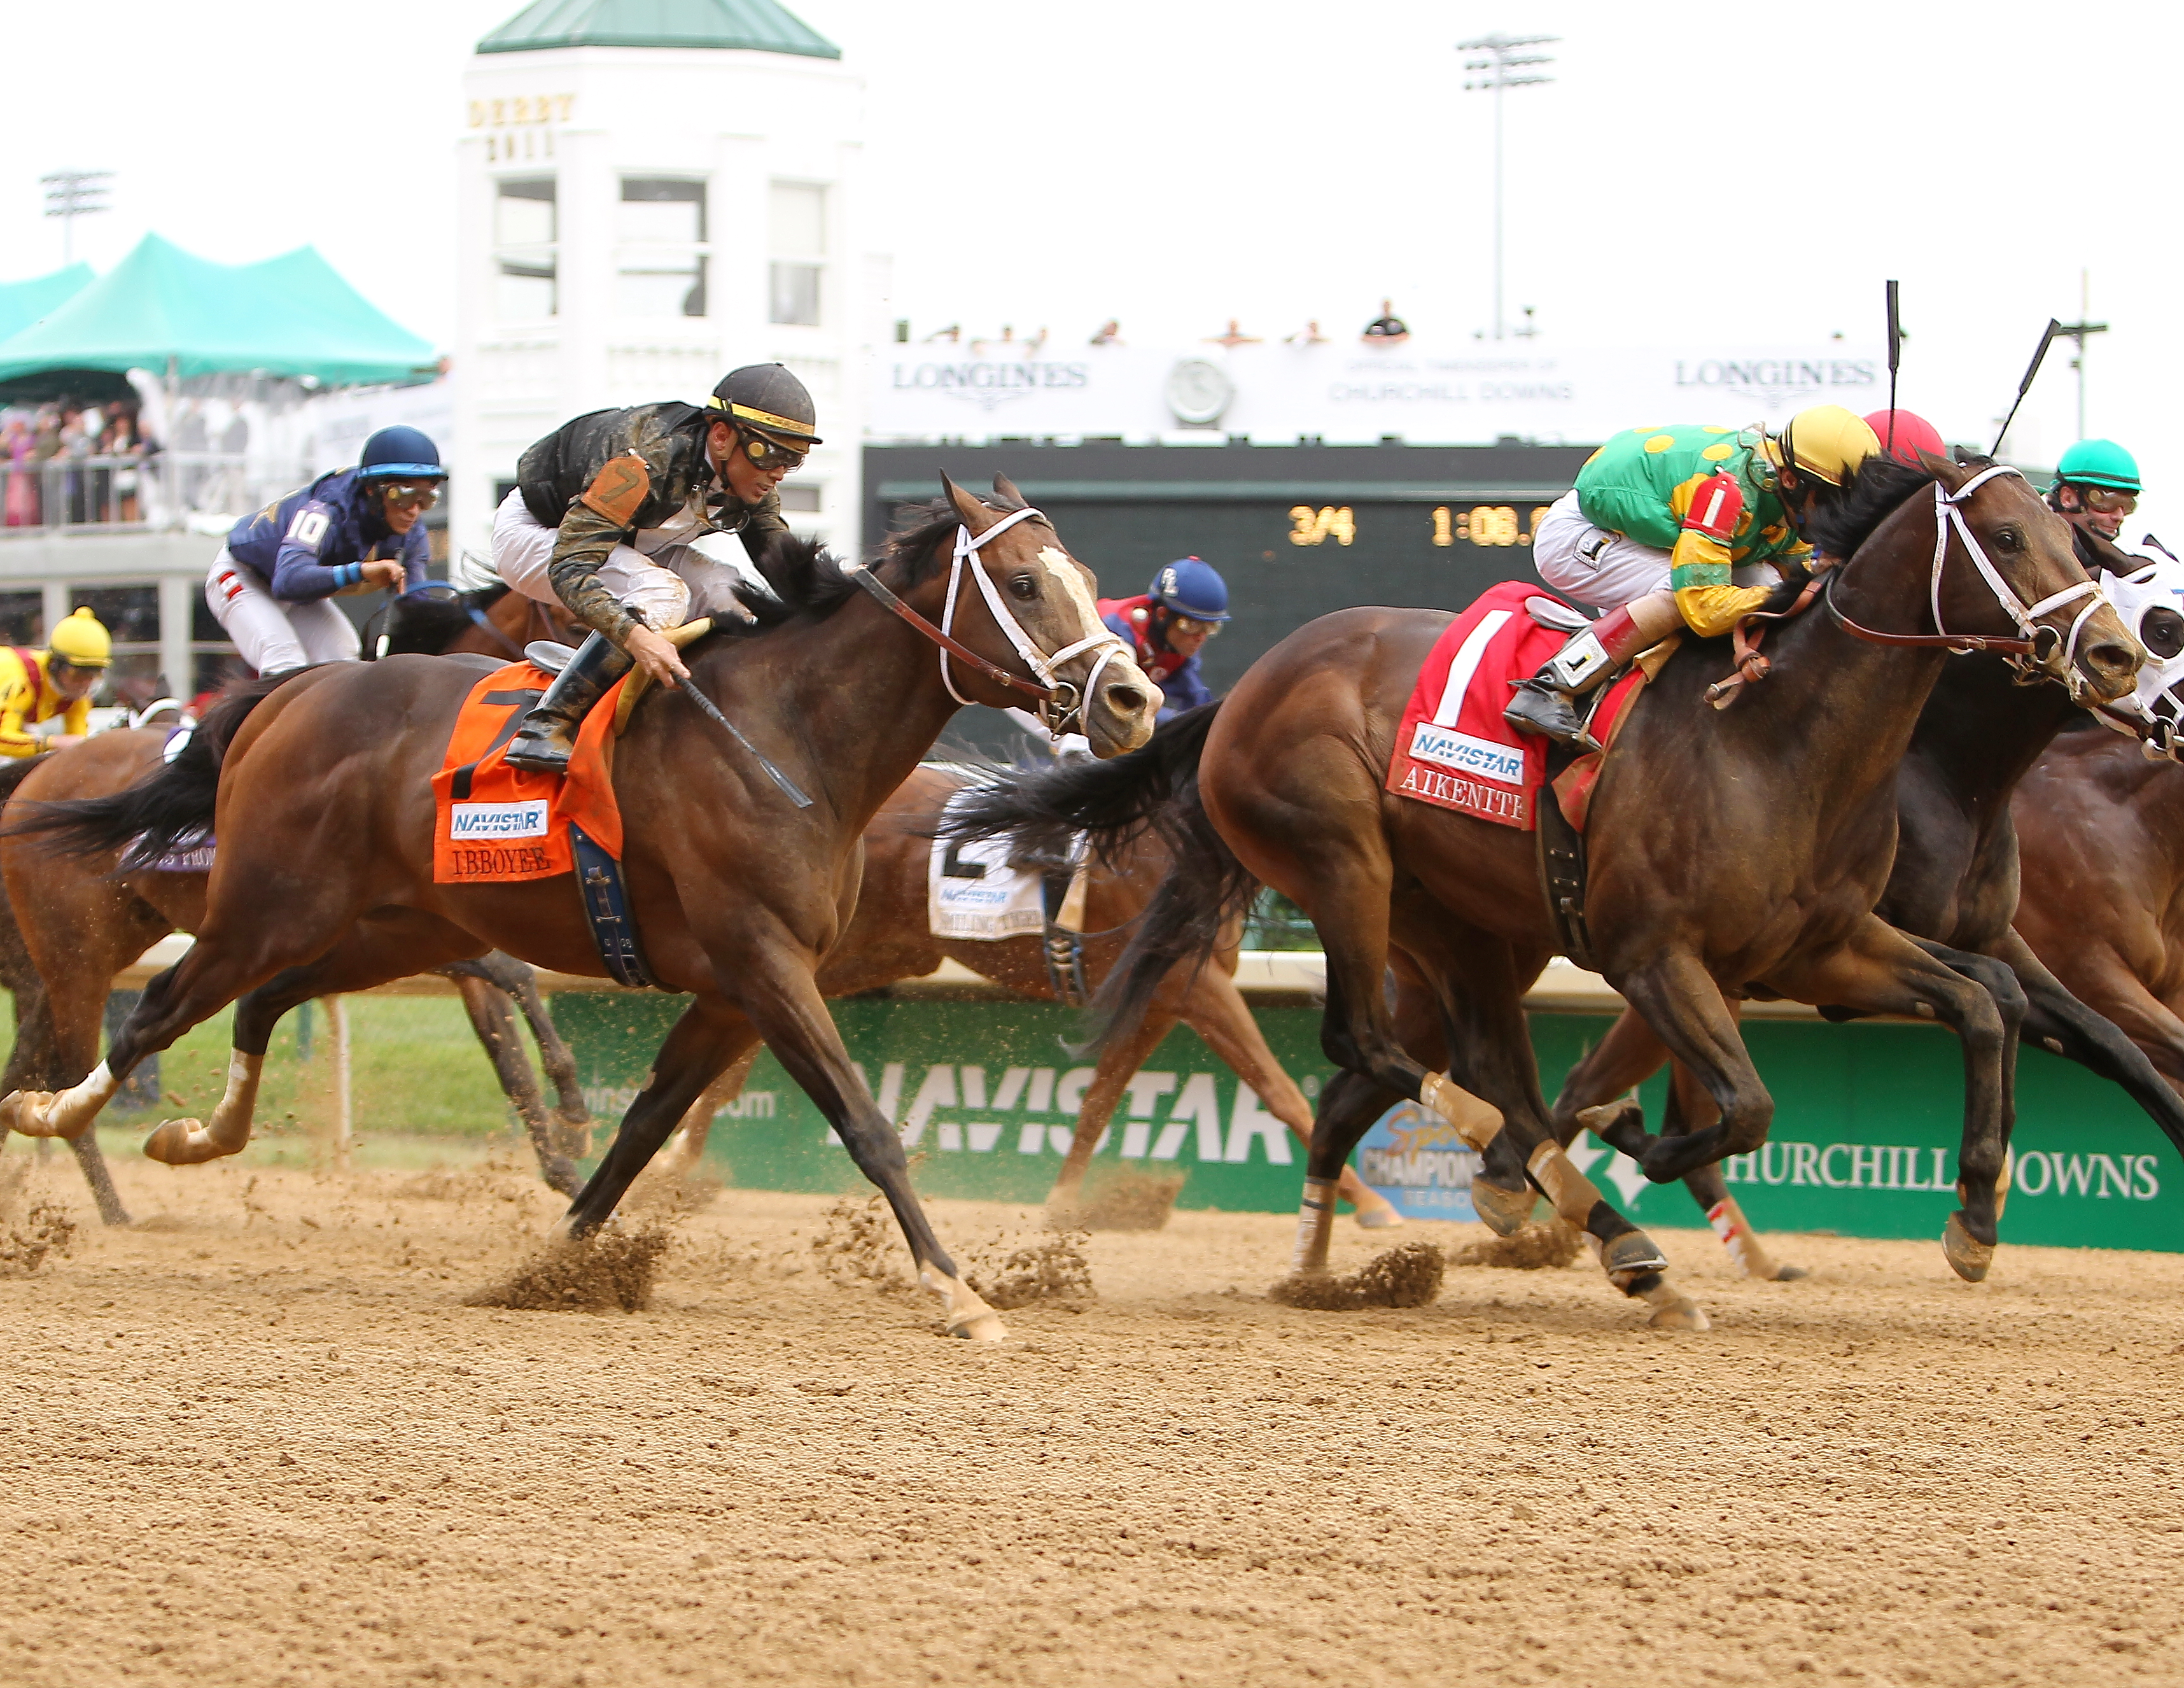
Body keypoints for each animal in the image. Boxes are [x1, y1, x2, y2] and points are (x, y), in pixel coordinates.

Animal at [0, 725, 598, 1214]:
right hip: (78, 955)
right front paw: (572, 1118)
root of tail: (44, 768)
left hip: (93, 950)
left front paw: (566, 1167)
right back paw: (116, 1212)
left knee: (26, 1064)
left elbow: (511, 1061)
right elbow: (512, 973)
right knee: (66, 1069)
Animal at [646, 759, 1397, 1223]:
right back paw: (680, 1159)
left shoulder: (1158, 1002)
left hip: (874, 949)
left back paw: (684, 1151)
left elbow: (1099, 1101)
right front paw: (1372, 1204)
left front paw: (1062, 1203)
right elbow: (1278, 1088)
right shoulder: (1200, 988)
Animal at [1546, 552, 2184, 1275]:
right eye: (2166, 626)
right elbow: (2010, 1000)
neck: (1946, 775)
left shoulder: (2004, 939)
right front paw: (1979, 1197)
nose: (2118, 659)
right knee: (1588, 1090)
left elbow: (2103, 1039)